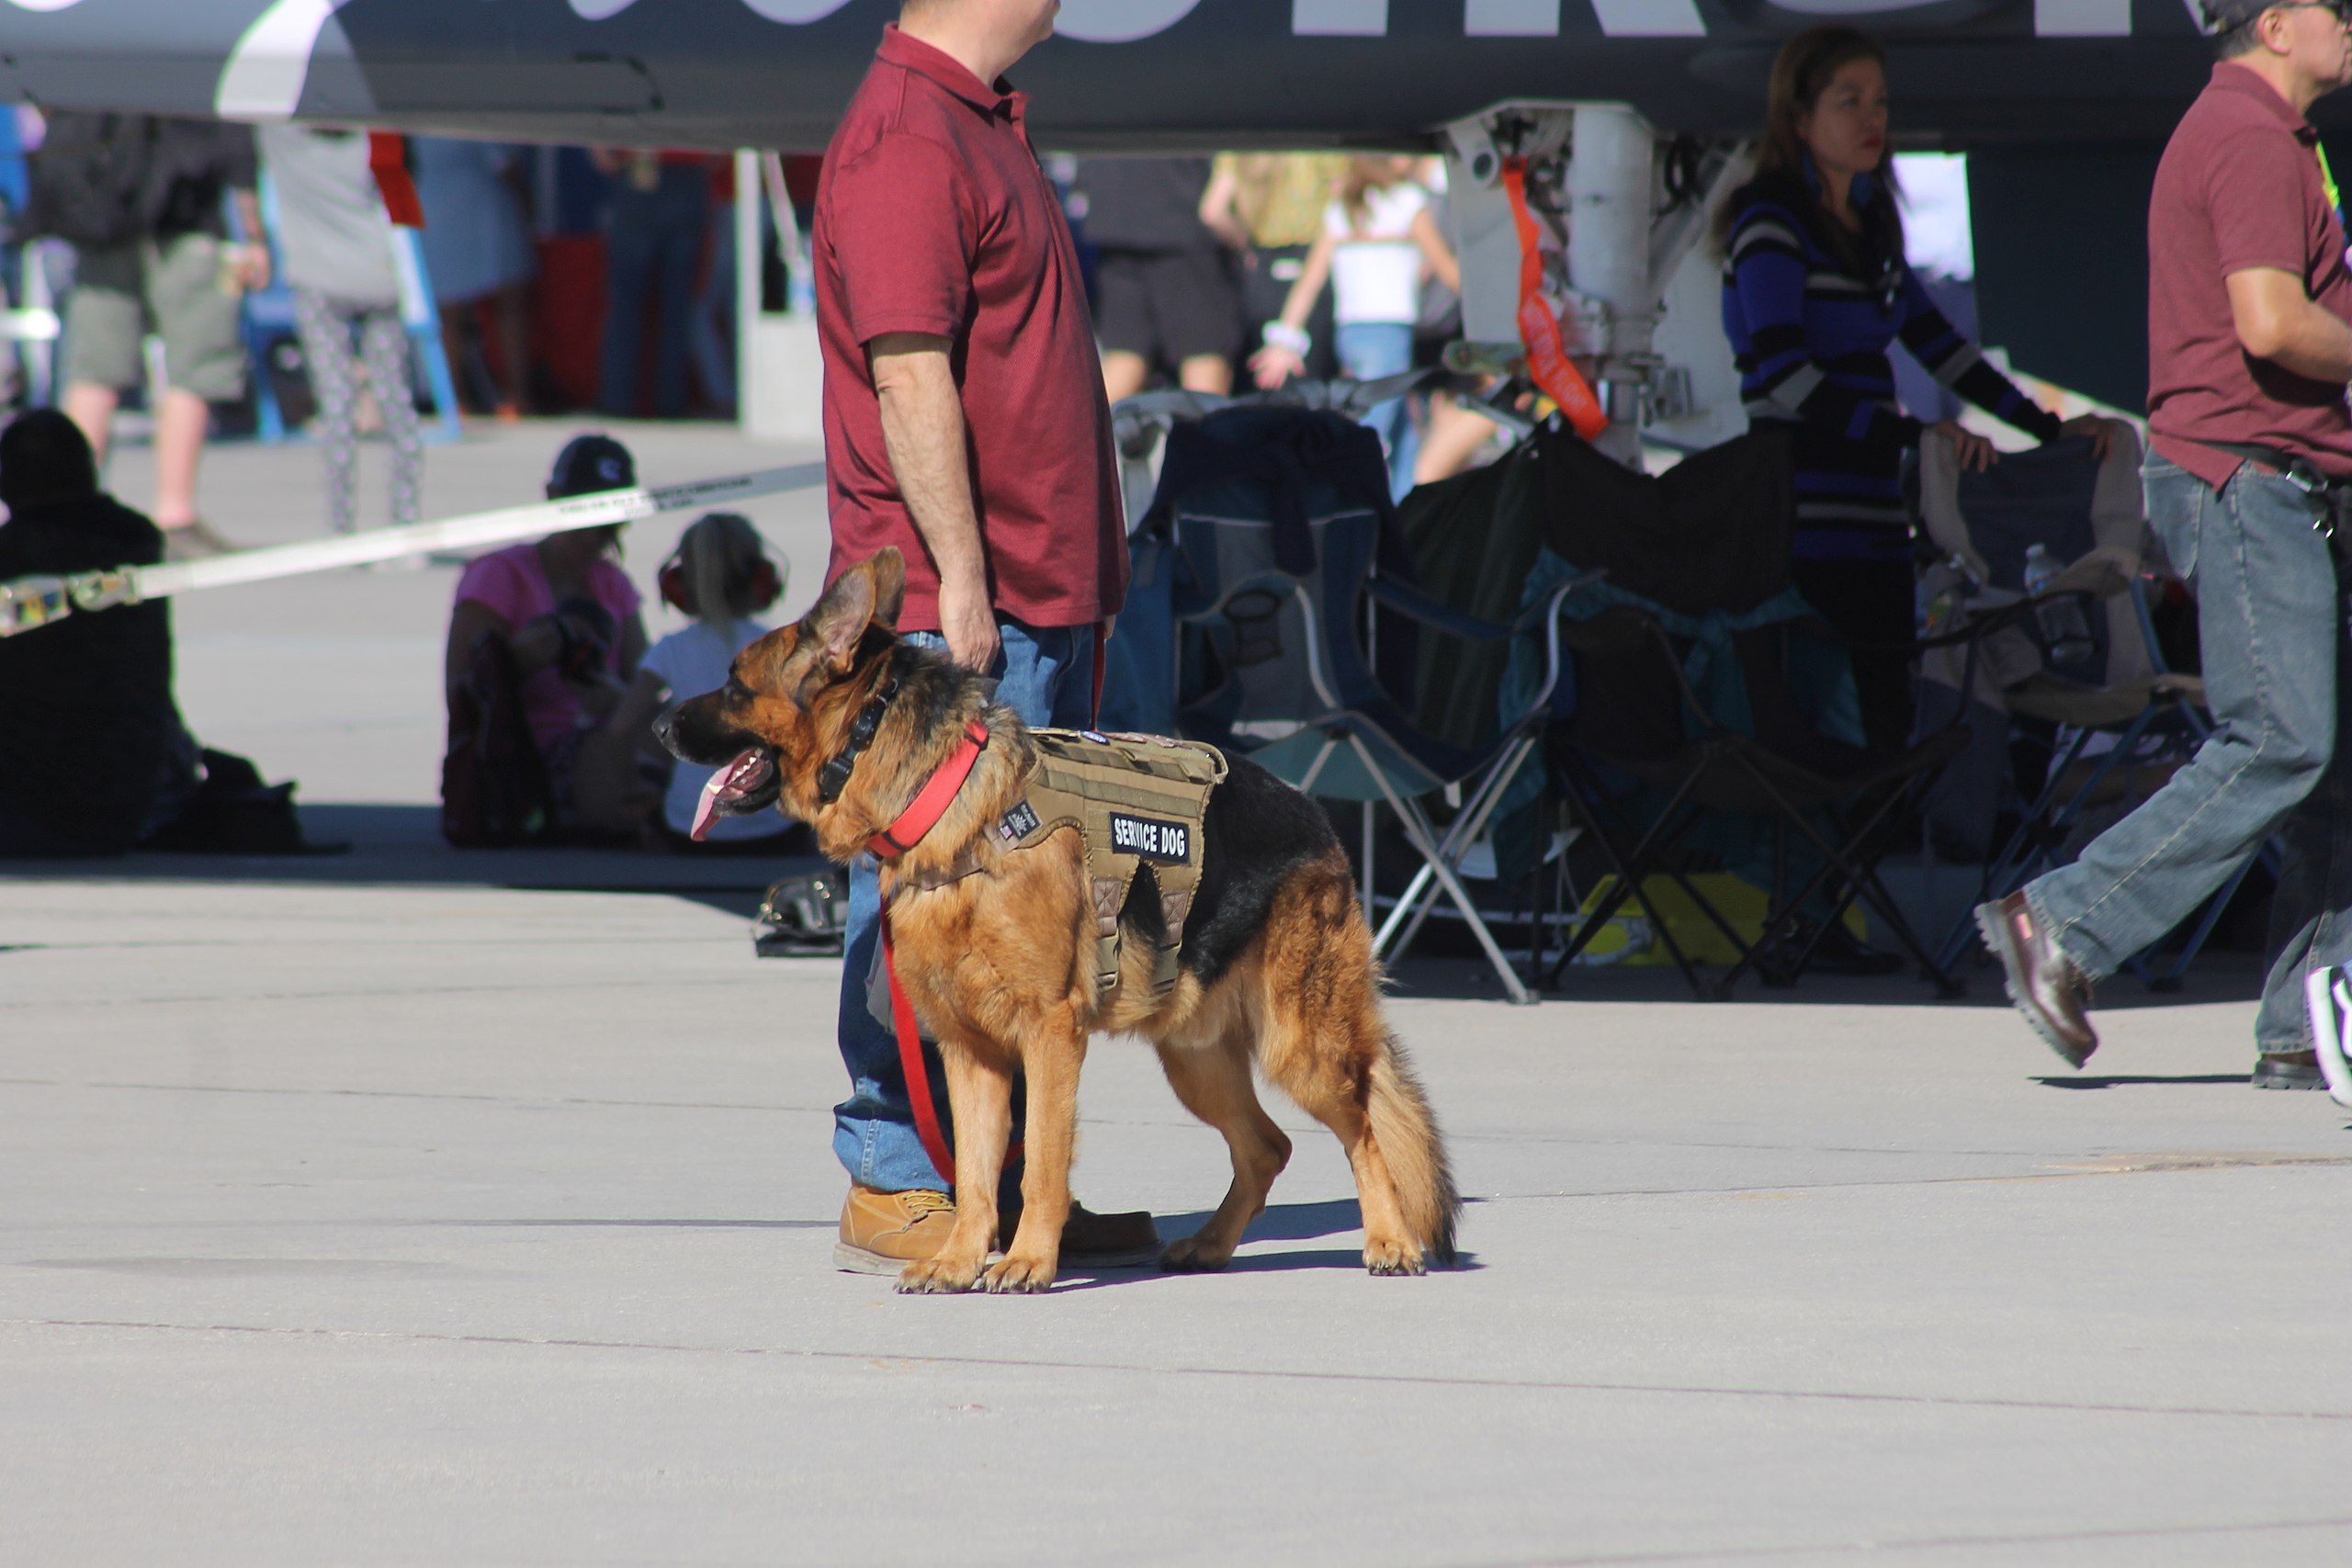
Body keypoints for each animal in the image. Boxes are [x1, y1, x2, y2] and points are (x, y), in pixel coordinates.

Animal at [658, 552, 1448, 1297]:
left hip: (1302, 1049)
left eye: (734, 684)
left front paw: (1030, 1260)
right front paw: (960, 1260)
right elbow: (978, 1172)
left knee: (1364, 1129)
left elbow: (1039, 1159)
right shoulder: (969, 1051)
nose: (660, 723)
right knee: (1267, 1146)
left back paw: (1389, 1240)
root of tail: (1316, 813)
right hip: (1195, 1058)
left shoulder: (1049, 1036)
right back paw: (1213, 1244)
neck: (947, 799)